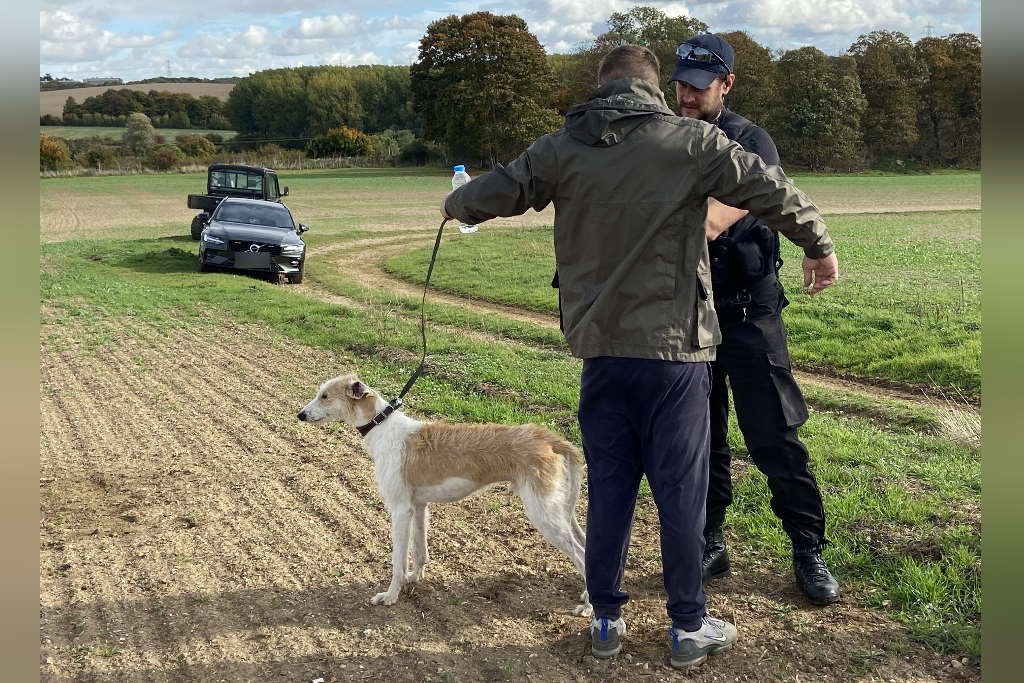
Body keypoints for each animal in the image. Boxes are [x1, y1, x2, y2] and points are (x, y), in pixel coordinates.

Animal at [294, 374, 593, 614]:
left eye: (324, 396)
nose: (300, 415)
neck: (382, 427)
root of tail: (547, 438)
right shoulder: (418, 507)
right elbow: (420, 550)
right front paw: (414, 578)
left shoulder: (400, 510)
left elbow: (397, 560)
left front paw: (390, 595)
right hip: (555, 510)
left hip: (544, 513)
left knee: (581, 555)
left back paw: (589, 608)